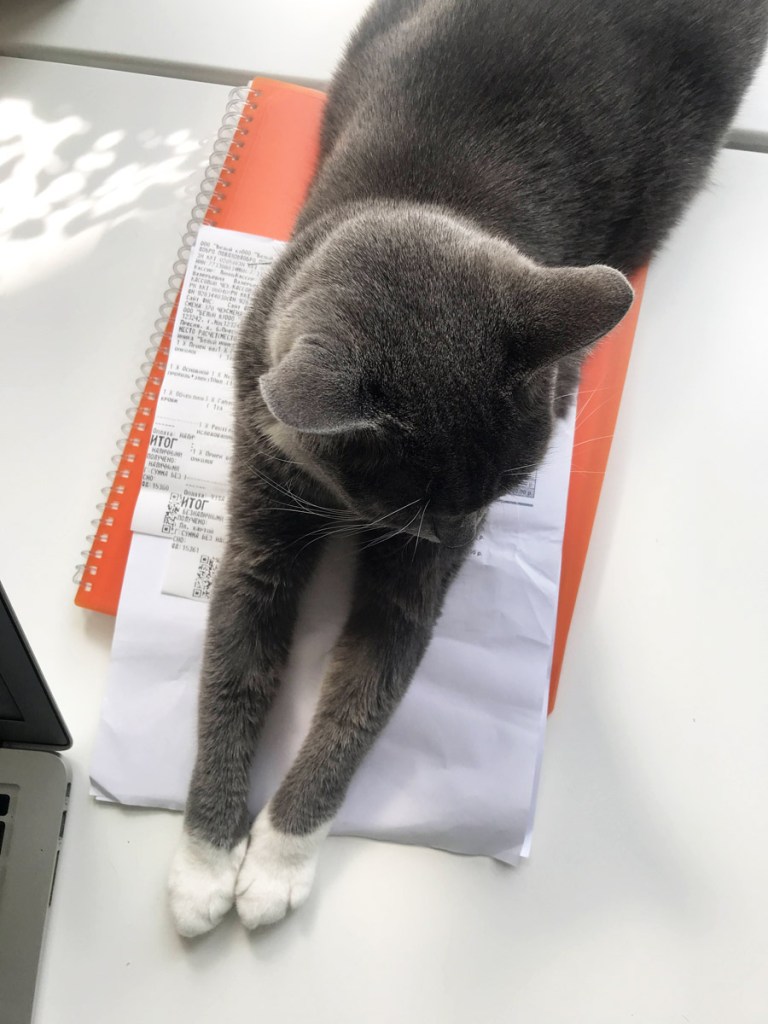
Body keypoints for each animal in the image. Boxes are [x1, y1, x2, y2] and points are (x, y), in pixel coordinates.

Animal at [169, 0, 768, 936]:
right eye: (412, 500)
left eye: (501, 490)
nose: (456, 536)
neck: (426, 200)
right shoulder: (262, 476)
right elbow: (230, 669)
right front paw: (203, 862)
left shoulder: (409, 590)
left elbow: (363, 696)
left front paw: (275, 861)